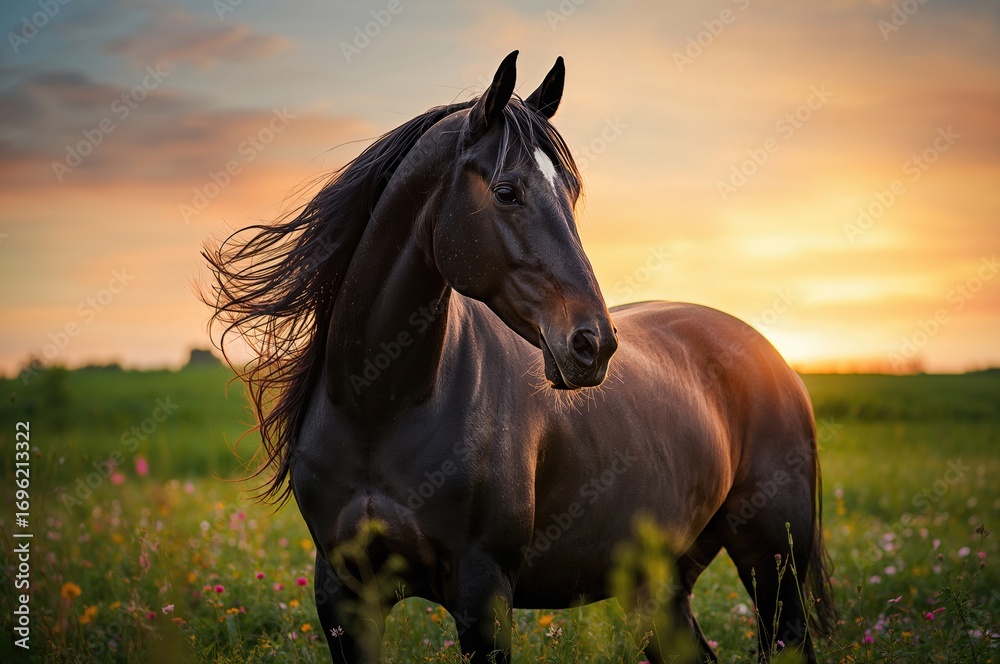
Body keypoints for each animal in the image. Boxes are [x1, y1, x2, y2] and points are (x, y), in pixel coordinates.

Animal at [204, 50, 836, 663]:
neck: (378, 407)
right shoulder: (343, 595)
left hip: (771, 564)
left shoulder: (482, 592)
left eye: (571, 194)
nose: (593, 344)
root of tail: (777, 361)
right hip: (659, 586)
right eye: (507, 192)